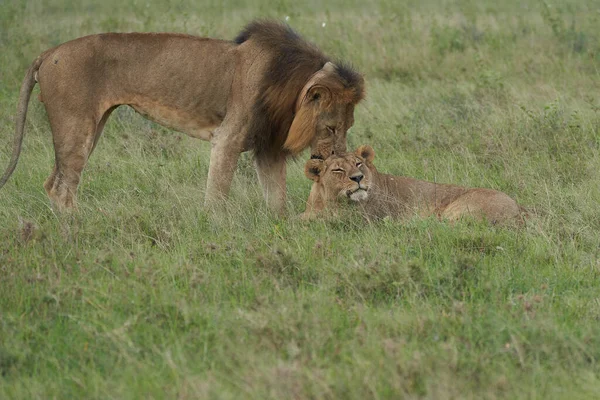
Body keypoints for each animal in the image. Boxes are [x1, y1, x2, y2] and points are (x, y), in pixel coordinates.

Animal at [0, 19, 366, 212]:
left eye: (348, 126)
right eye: (331, 128)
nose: (342, 161)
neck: (287, 92)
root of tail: (48, 53)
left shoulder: (268, 149)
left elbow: (277, 200)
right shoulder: (227, 139)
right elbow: (217, 196)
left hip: (91, 127)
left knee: (54, 183)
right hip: (76, 127)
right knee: (64, 187)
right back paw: (77, 233)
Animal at [302, 145, 524, 223]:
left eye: (358, 164)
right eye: (338, 170)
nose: (358, 178)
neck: (327, 202)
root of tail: (521, 209)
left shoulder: (360, 221)